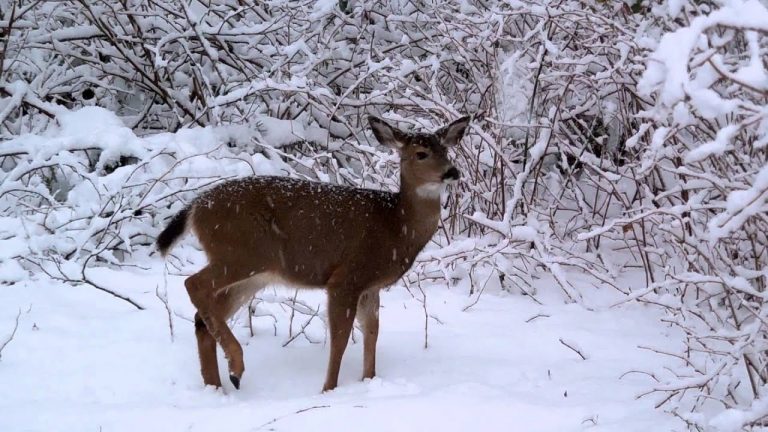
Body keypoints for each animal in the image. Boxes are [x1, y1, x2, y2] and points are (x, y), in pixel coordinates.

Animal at [155, 114, 468, 392]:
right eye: (421, 153)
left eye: (446, 150)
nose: (452, 172)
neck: (394, 226)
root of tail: (195, 207)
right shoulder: (346, 277)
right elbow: (340, 338)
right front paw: (329, 389)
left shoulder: (371, 286)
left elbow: (372, 333)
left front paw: (369, 380)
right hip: (239, 253)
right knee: (193, 284)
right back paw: (236, 365)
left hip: (252, 274)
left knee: (201, 319)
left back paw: (220, 385)